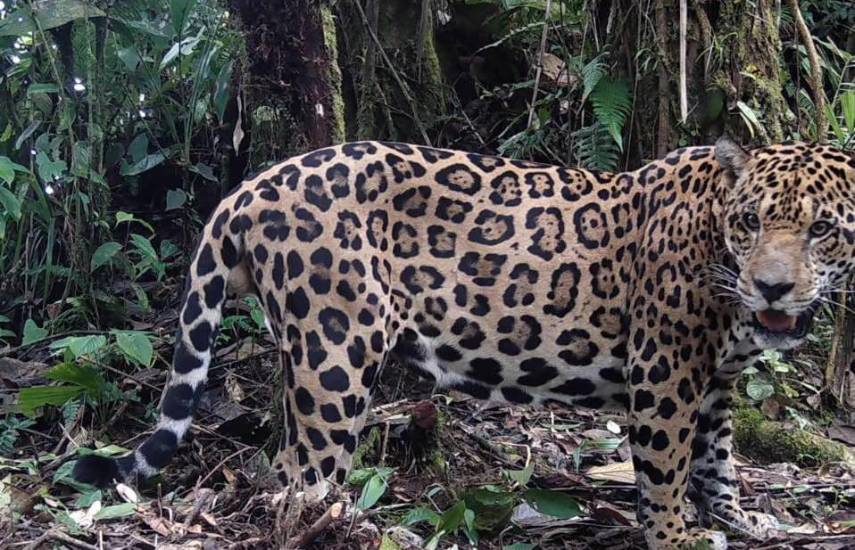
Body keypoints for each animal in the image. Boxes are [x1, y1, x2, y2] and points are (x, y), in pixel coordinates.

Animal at [72, 136, 855, 549]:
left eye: (821, 229)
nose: (772, 289)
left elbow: (717, 460)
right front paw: (674, 537)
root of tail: (250, 186)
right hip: (336, 350)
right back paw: (341, 525)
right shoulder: (664, 373)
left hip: (301, 350)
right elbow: (665, 471)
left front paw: (738, 519)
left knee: (283, 458)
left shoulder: (714, 382)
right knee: (305, 470)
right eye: (749, 222)